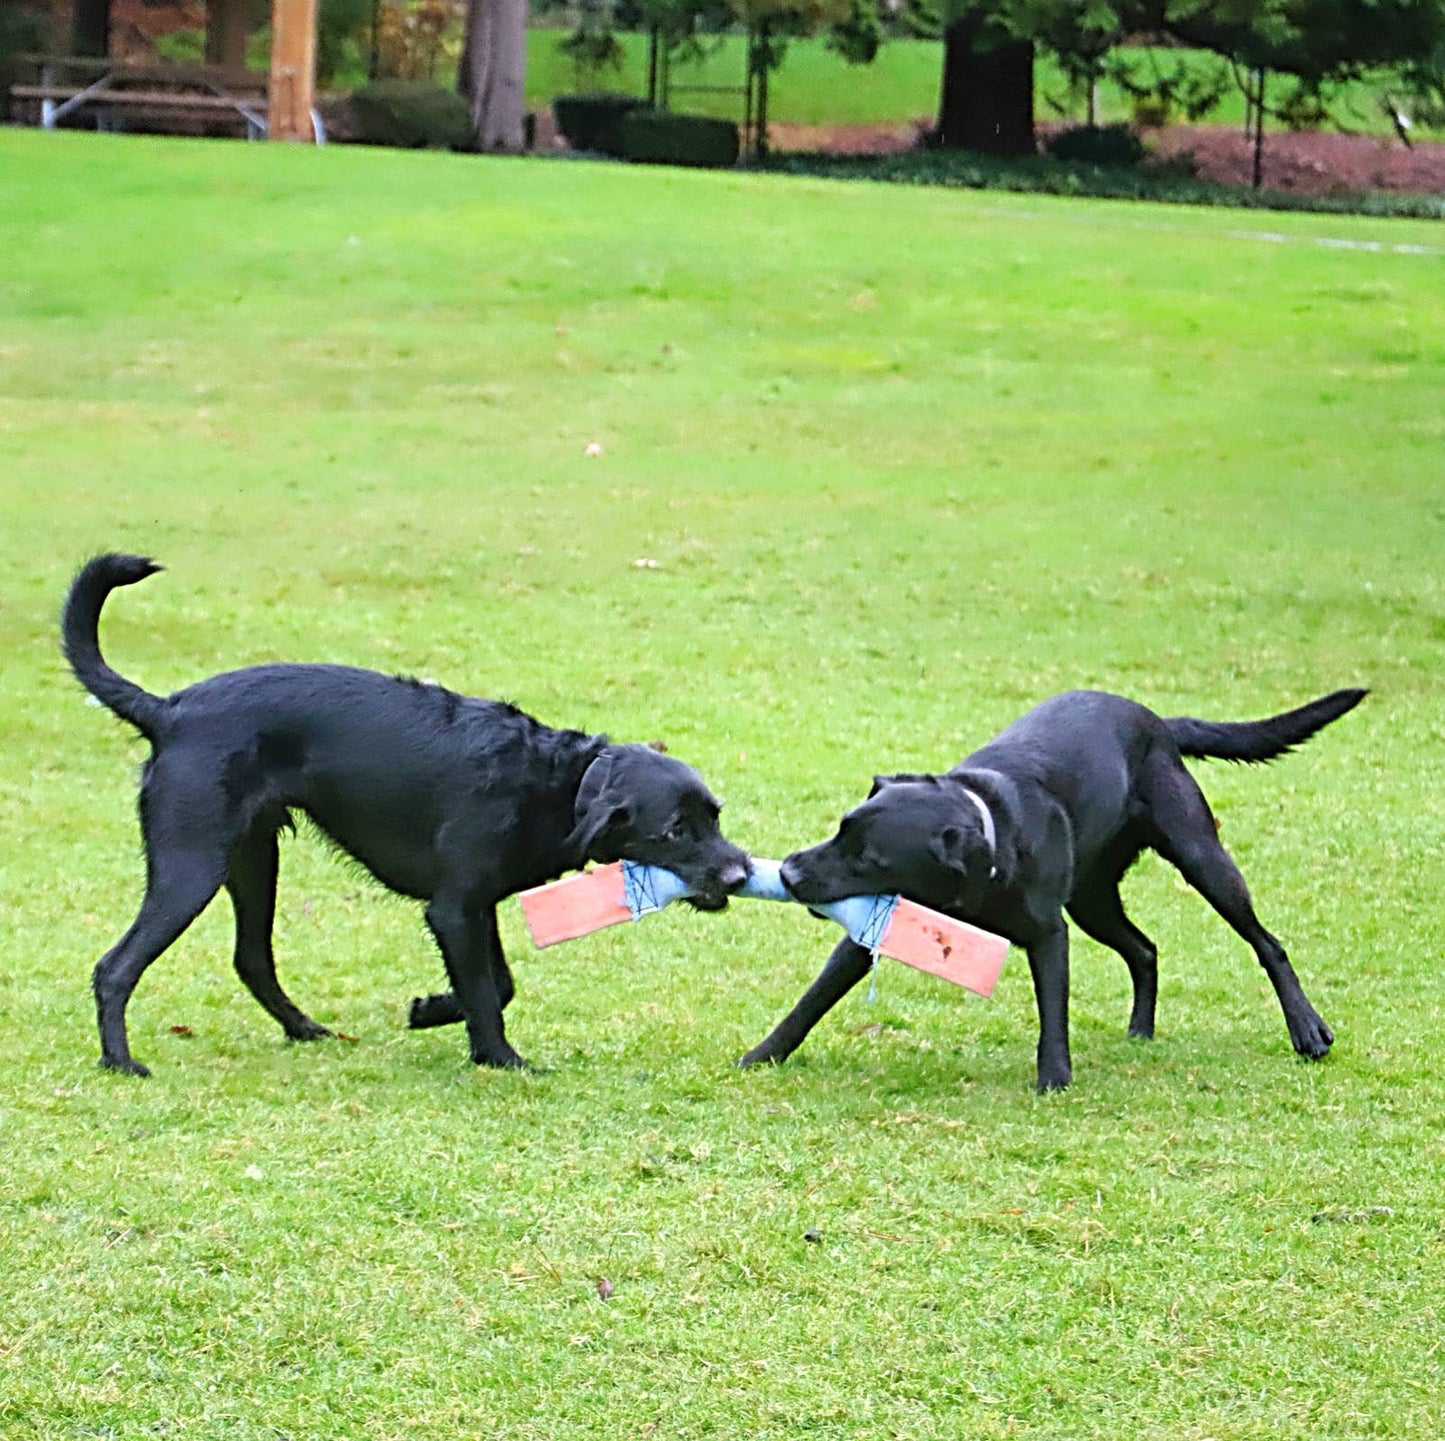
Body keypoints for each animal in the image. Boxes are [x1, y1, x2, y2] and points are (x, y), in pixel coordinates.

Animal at [62, 557, 751, 1075]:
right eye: (674, 831)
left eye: (715, 817)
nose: (741, 874)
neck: (562, 780)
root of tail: (168, 711)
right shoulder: (454, 908)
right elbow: (488, 993)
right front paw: (500, 1058)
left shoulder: (476, 906)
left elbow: (498, 985)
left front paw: (431, 1010)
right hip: (192, 865)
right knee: (115, 968)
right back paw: (120, 1062)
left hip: (253, 859)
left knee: (251, 960)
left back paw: (303, 1029)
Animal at [745, 687, 1364, 1092]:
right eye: (841, 826)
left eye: (869, 858)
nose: (789, 873)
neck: (988, 836)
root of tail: (1157, 722)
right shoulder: (875, 929)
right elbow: (812, 999)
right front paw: (762, 1055)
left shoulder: (1049, 934)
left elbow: (1053, 1010)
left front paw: (1054, 1079)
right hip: (1093, 900)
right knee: (1145, 950)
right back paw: (1140, 1030)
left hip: (1201, 859)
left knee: (1267, 944)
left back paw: (1307, 1029)